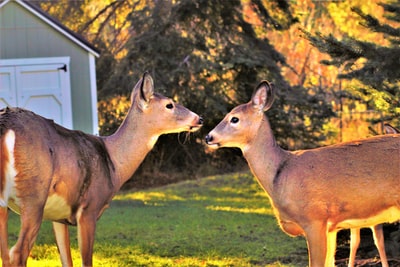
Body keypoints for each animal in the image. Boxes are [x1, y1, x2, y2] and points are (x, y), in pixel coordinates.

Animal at [0, 72, 202, 266]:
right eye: (169, 105)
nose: (199, 118)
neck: (114, 164)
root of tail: (6, 128)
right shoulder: (89, 208)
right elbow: (86, 261)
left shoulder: (58, 217)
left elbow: (67, 261)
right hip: (34, 196)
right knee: (17, 253)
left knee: (6, 255)